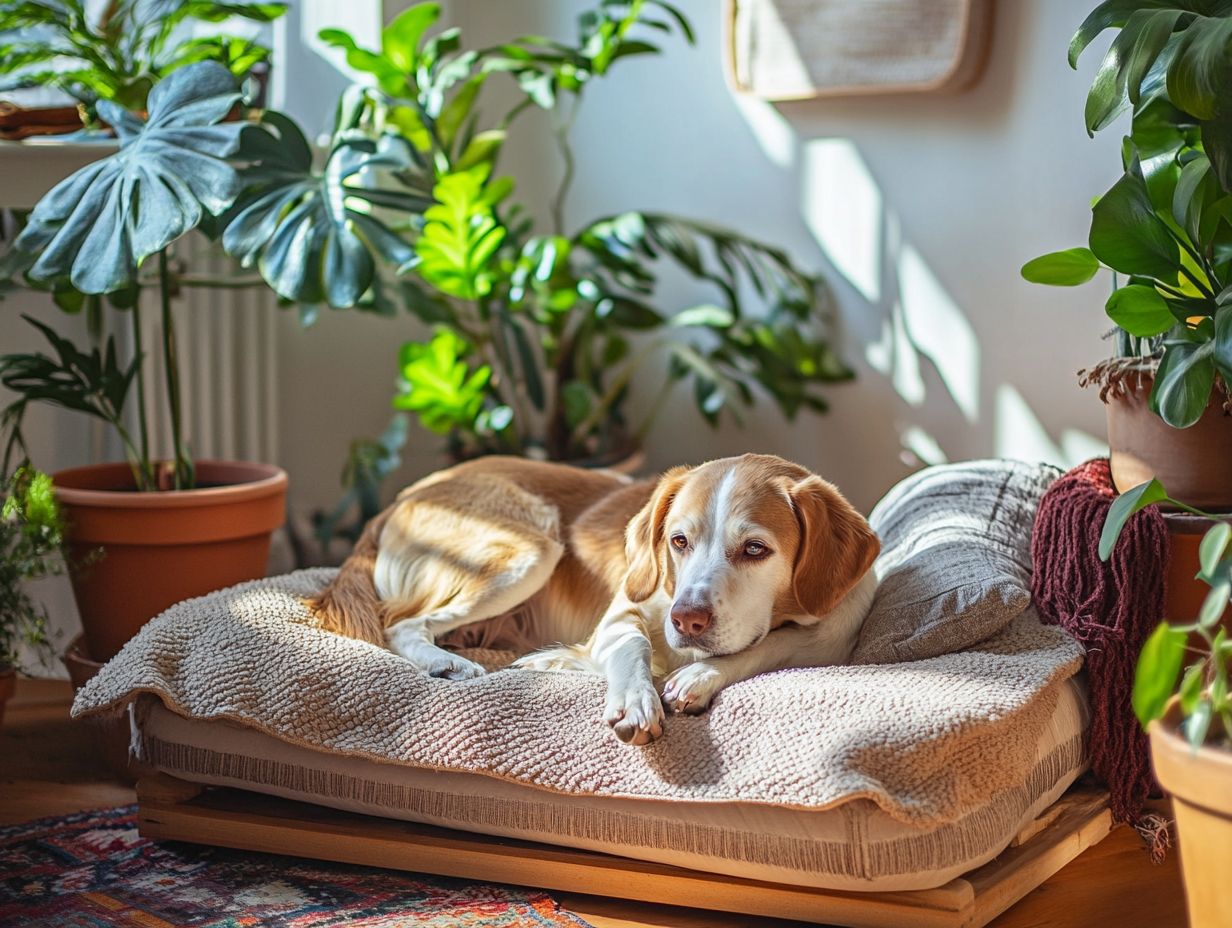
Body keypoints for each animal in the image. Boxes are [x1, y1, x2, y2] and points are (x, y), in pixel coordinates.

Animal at [312, 453, 882, 744]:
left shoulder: (831, 638)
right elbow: (635, 648)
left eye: (756, 548)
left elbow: (773, 646)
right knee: (400, 623)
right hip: (532, 548)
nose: (686, 621)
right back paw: (447, 663)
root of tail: (403, 496)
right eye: (678, 541)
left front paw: (698, 677)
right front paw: (635, 698)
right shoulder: (622, 616)